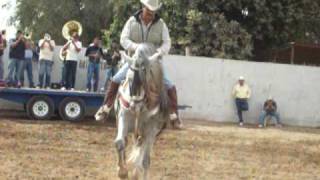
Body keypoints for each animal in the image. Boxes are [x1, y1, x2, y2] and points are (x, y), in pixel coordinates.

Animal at [95, 44, 169, 180]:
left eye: (146, 78)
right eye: (128, 79)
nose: (134, 105)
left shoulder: (151, 129)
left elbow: (145, 160)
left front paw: (135, 172)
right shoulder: (123, 117)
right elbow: (120, 143)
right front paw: (122, 172)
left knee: (143, 153)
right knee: (126, 142)